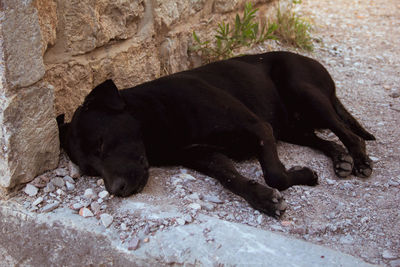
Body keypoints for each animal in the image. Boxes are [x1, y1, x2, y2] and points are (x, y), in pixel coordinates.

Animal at [57, 50, 376, 218]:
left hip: (304, 92)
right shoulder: (206, 156)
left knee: (348, 131)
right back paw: (340, 158)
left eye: (101, 144)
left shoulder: (258, 127)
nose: (116, 190)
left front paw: (301, 176)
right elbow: (232, 180)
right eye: (89, 170)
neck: (155, 119)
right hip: (291, 128)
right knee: (323, 139)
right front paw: (262, 198)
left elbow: (275, 174)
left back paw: (360, 159)